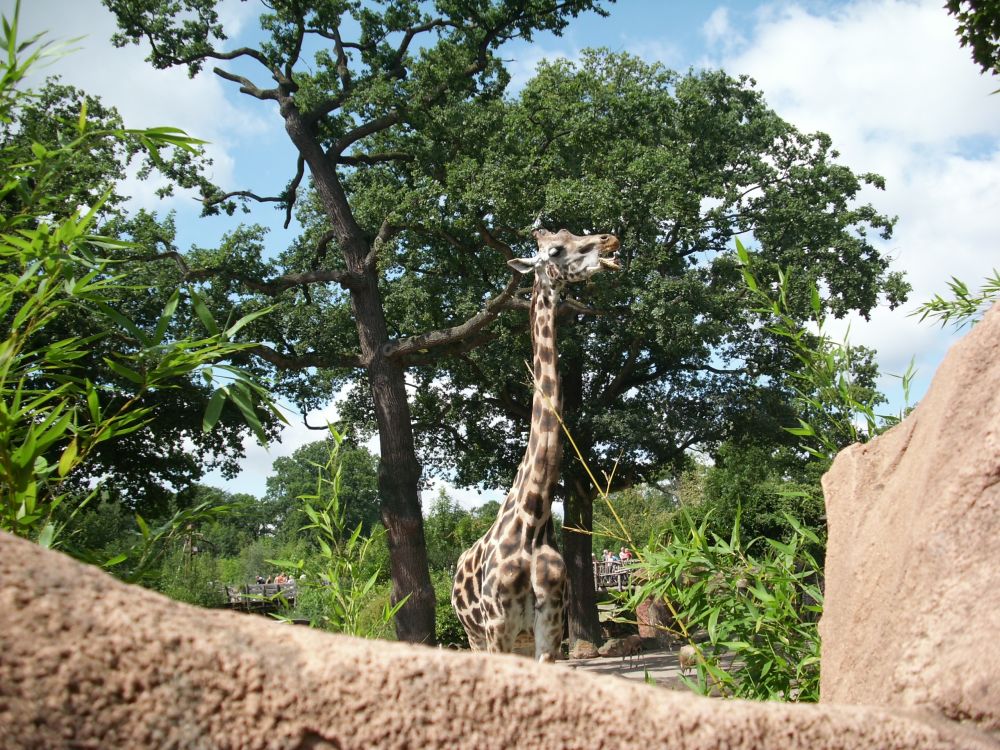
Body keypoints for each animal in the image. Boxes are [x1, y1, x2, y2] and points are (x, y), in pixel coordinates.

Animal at [452, 226, 616, 660]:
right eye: (555, 250)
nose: (610, 242)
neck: (534, 519)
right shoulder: (497, 628)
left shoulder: (550, 627)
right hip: (475, 637)